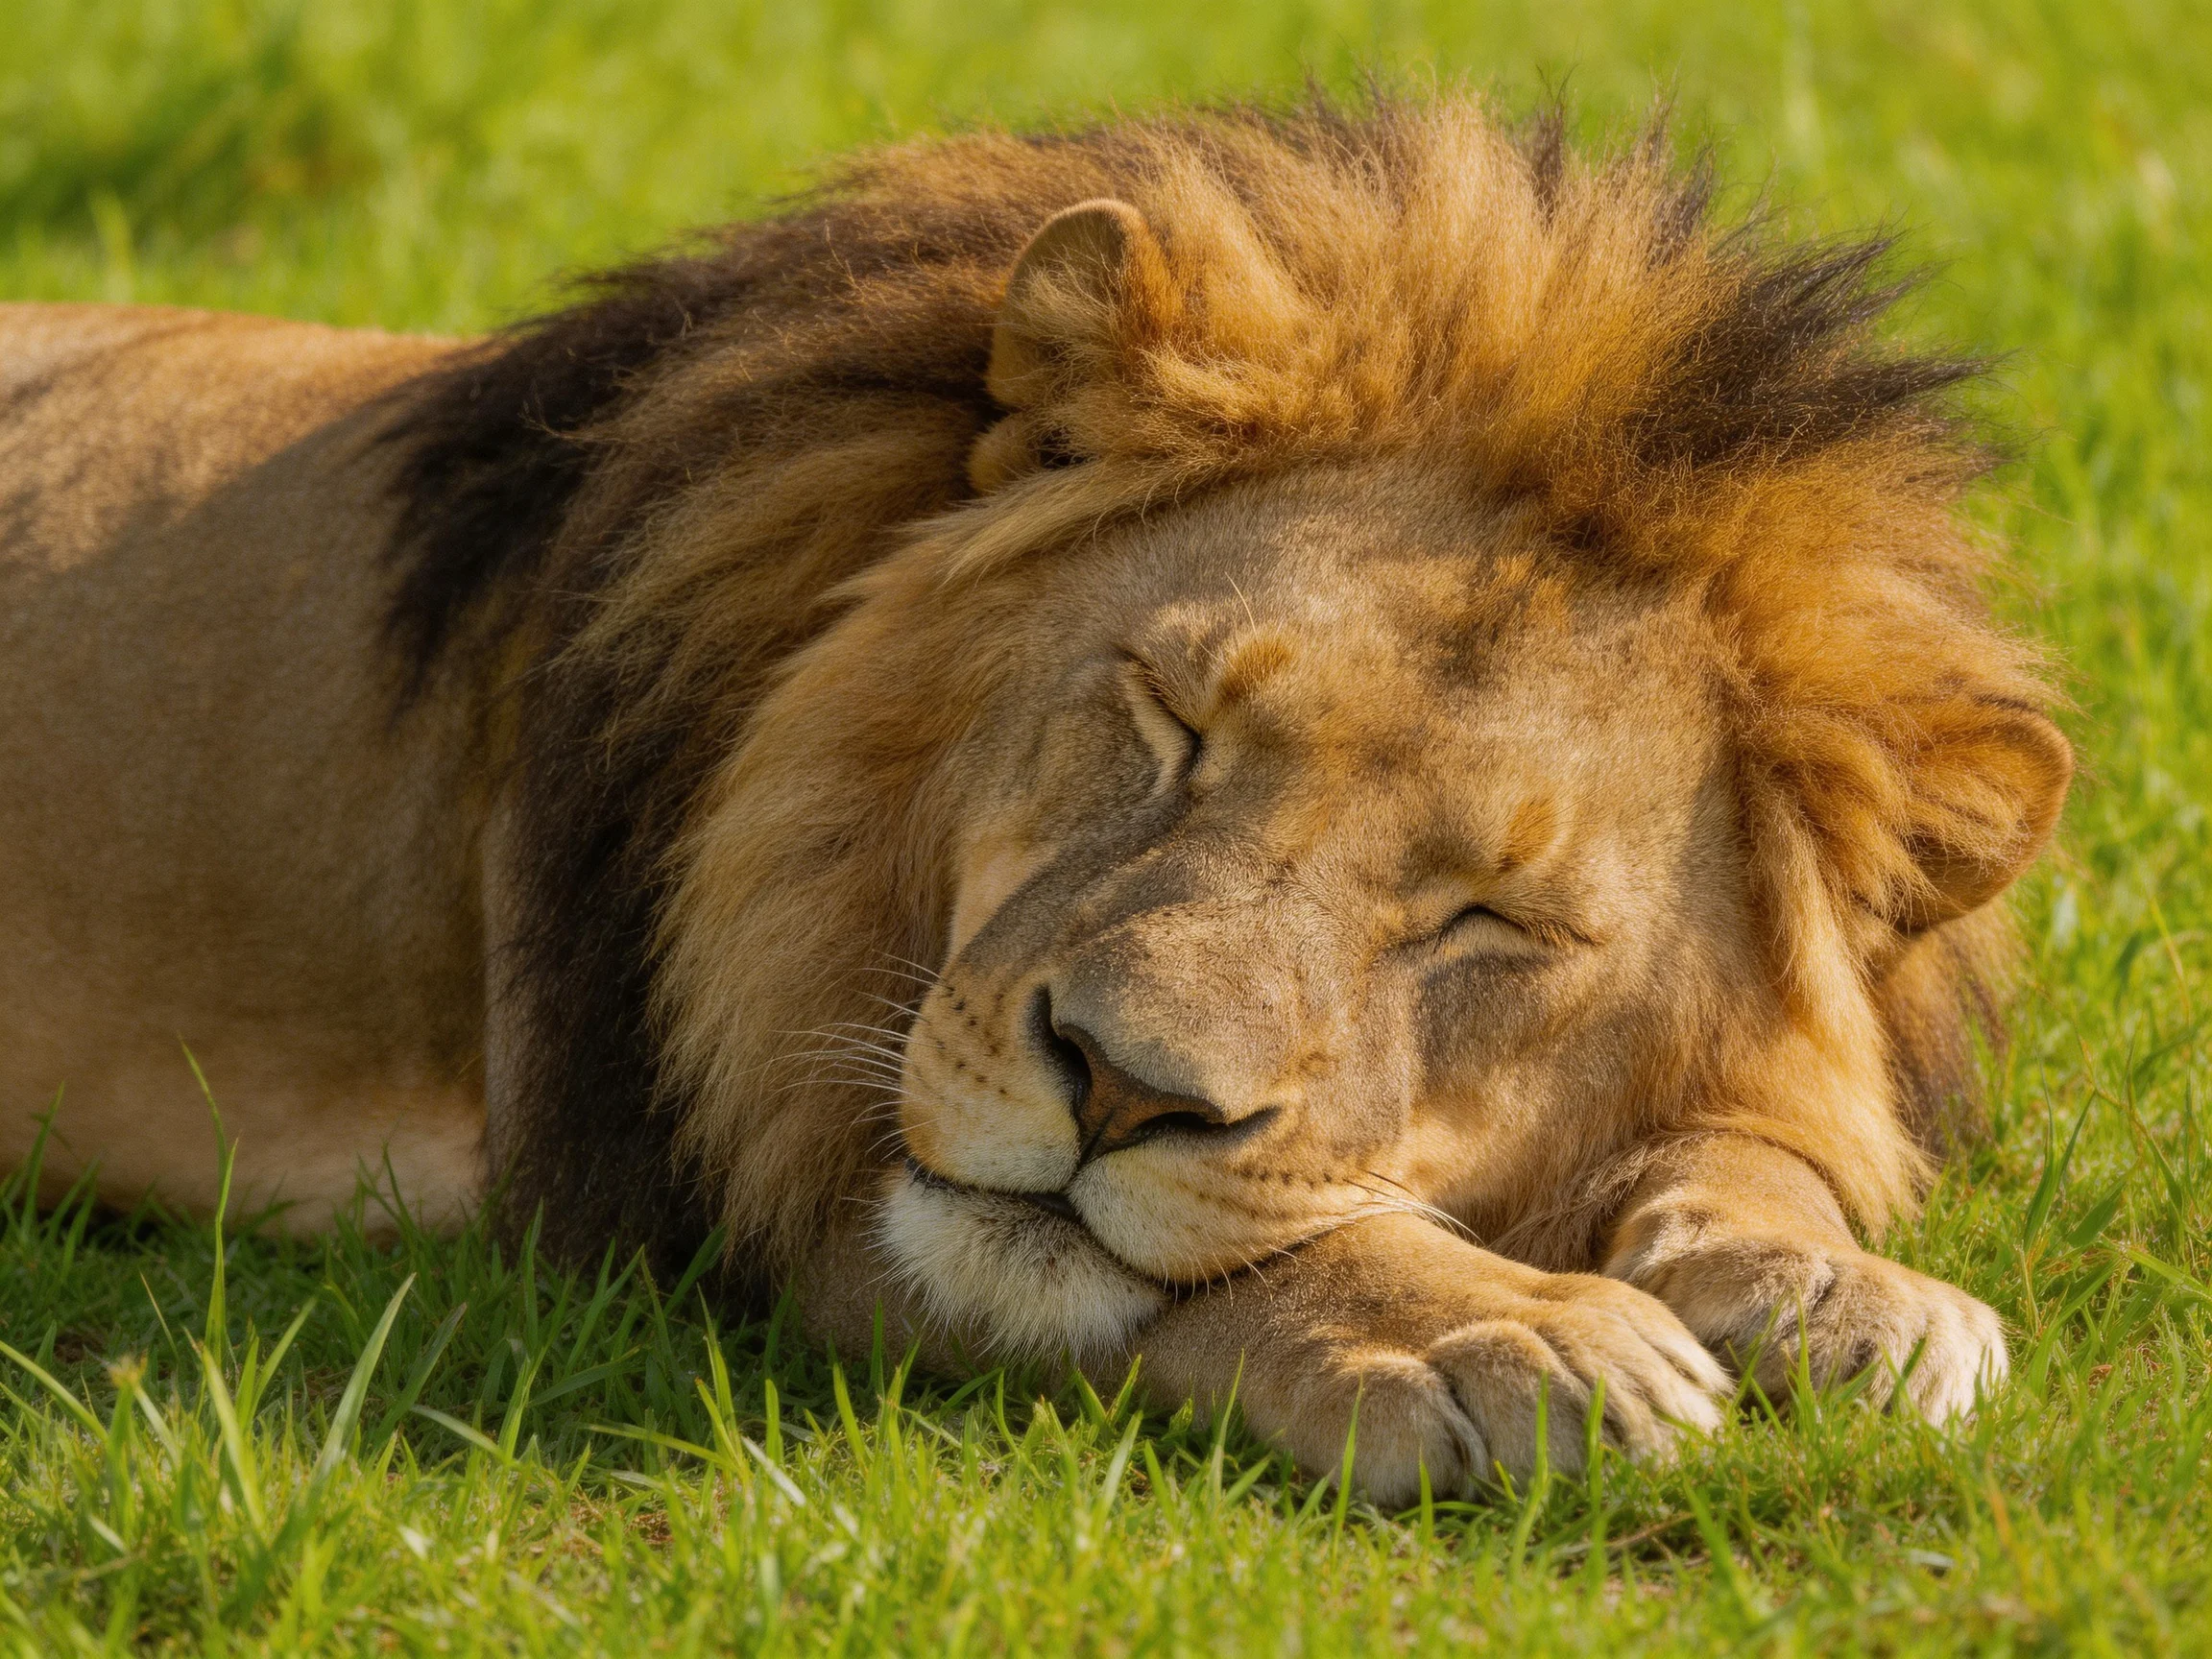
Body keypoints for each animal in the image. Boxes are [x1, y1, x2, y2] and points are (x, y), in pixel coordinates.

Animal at [0, 97, 2071, 1502]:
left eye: (1485, 920)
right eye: (1166, 721)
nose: (1124, 1090)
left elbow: (1772, 1132)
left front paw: (1826, 1280)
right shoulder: (736, 1176)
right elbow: (1188, 1267)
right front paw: (1497, 1326)